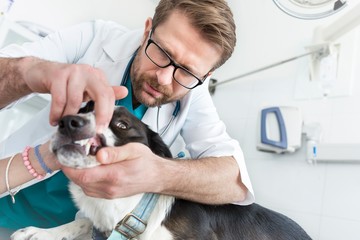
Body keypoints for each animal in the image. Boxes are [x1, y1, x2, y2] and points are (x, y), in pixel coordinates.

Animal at [10, 103, 310, 240]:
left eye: (121, 125)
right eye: (84, 108)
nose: (68, 122)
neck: (130, 210)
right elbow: (82, 222)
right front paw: (40, 233)